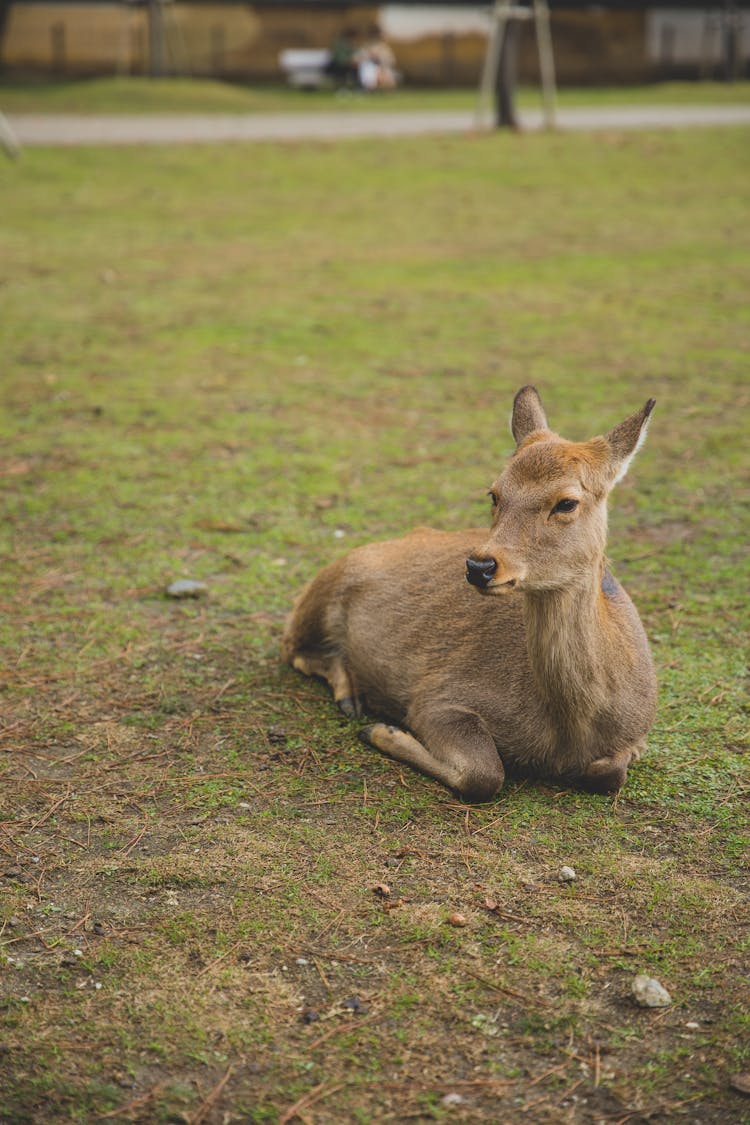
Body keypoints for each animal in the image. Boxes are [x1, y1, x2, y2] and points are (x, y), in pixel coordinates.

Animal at [281, 387, 656, 801]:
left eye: (566, 502)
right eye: (494, 493)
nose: (480, 566)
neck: (570, 730)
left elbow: (610, 772)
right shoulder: (438, 698)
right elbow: (484, 774)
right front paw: (384, 730)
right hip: (323, 590)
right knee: (292, 647)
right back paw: (351, 698)